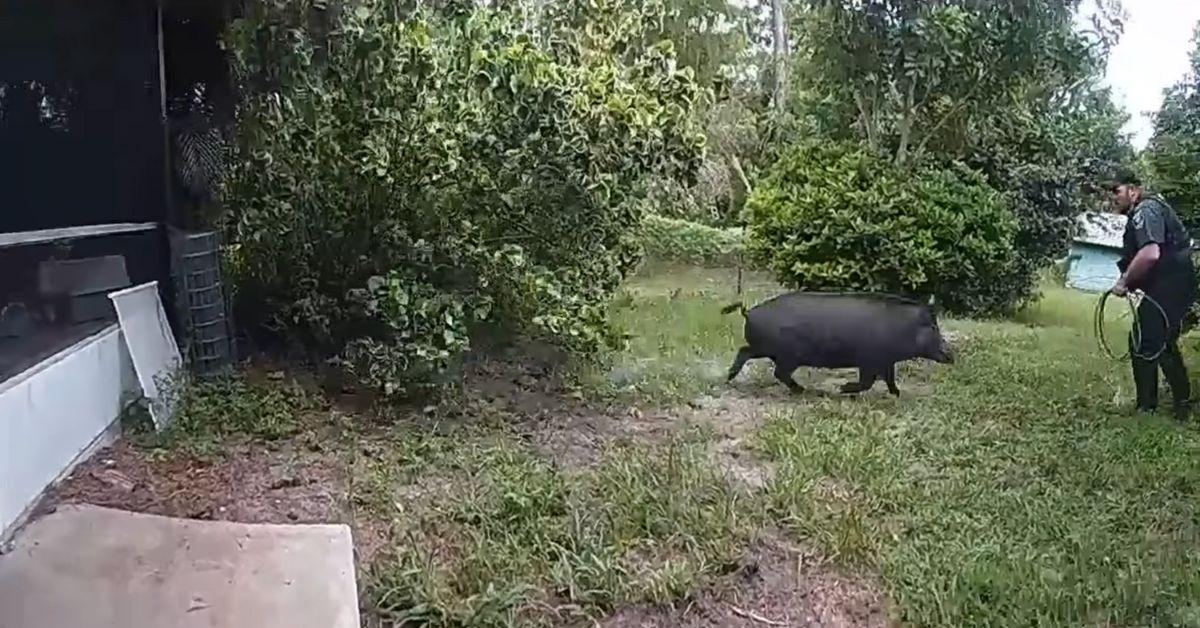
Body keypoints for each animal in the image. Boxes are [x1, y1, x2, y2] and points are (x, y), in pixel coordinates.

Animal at [722, 291, 954, 396]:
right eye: (933, 327)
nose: (951, 355)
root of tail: (749, 312)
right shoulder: (869, 360)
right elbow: (867, 382)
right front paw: (843, 389)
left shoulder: (886, 361)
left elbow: (889, 378)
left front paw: (897, 394)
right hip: (784, 355)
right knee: (778, 372)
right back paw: (804, 390)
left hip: (765, 349)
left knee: (746, 352)